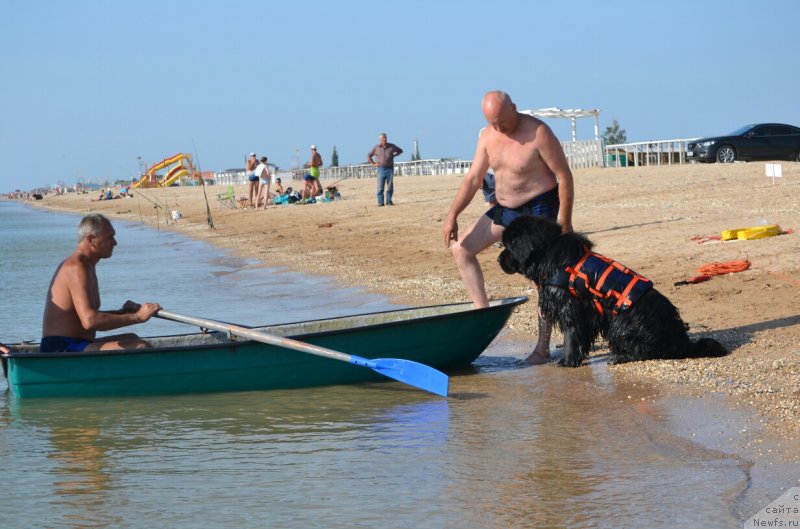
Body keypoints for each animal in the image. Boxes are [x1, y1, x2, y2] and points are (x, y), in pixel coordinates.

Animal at [500, 214, 732, 368]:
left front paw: (566, 361)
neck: (547, 255)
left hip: (619, 322)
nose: (498, 259)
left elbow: (571, 335)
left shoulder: (571, 307)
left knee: (647, 352)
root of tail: (683, 343)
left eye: (507, 246)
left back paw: (621, 357)